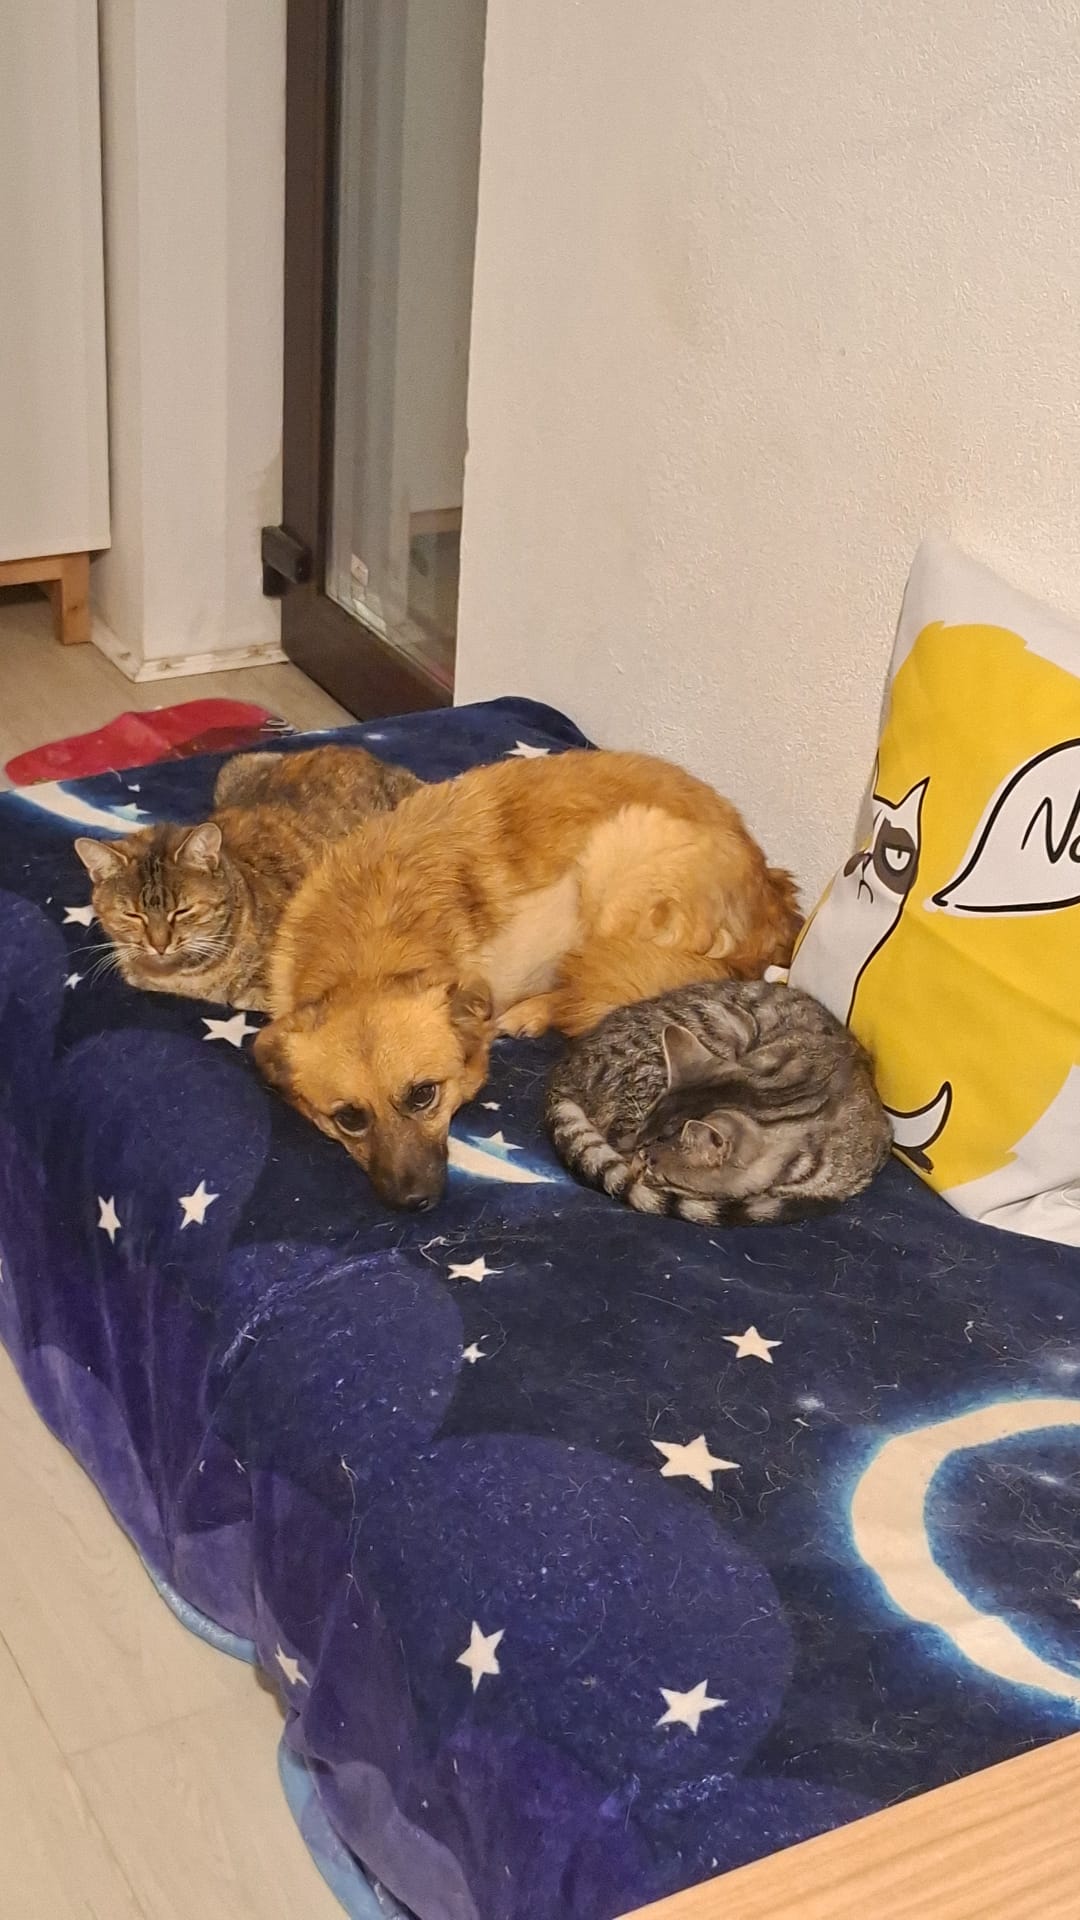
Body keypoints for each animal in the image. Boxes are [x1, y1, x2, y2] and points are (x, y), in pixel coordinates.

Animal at [253, 749, 800, 1209]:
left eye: (423, 1094)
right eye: (348, 1118)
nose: (412, 1203)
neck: (369, 946)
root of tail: (772, 892)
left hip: (619, 855)